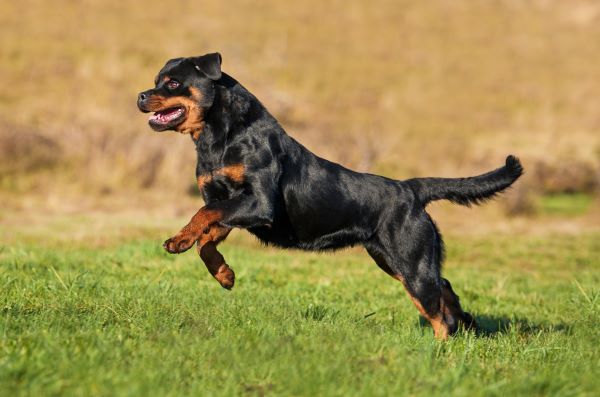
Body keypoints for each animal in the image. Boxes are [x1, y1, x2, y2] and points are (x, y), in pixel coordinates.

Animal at [138, 51, 524, 338]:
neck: (219, 137)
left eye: (173, 83)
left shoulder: (258, 203)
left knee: (437, 312)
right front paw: (224, 275)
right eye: (157, 81)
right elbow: (206, 241)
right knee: (444, 288)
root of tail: (411, 188)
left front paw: (178, 240)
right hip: (395, 259)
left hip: (410, 260)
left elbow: (201, 218)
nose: (141, 95)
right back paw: (467, 323)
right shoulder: (225, 202)